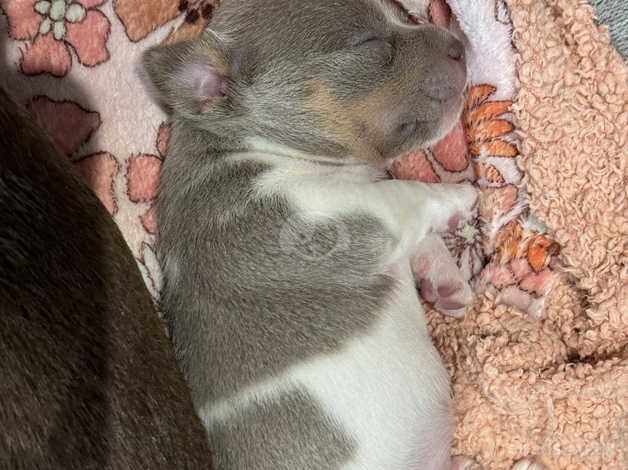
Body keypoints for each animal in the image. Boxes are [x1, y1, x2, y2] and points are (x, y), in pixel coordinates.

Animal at [142, 0, 476, 470]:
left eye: (405, 15)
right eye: (370, 44)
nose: (459, 43)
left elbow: (413, 233)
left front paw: (446, 282)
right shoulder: (311, 222)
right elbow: (401, 198)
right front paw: (459, 198)